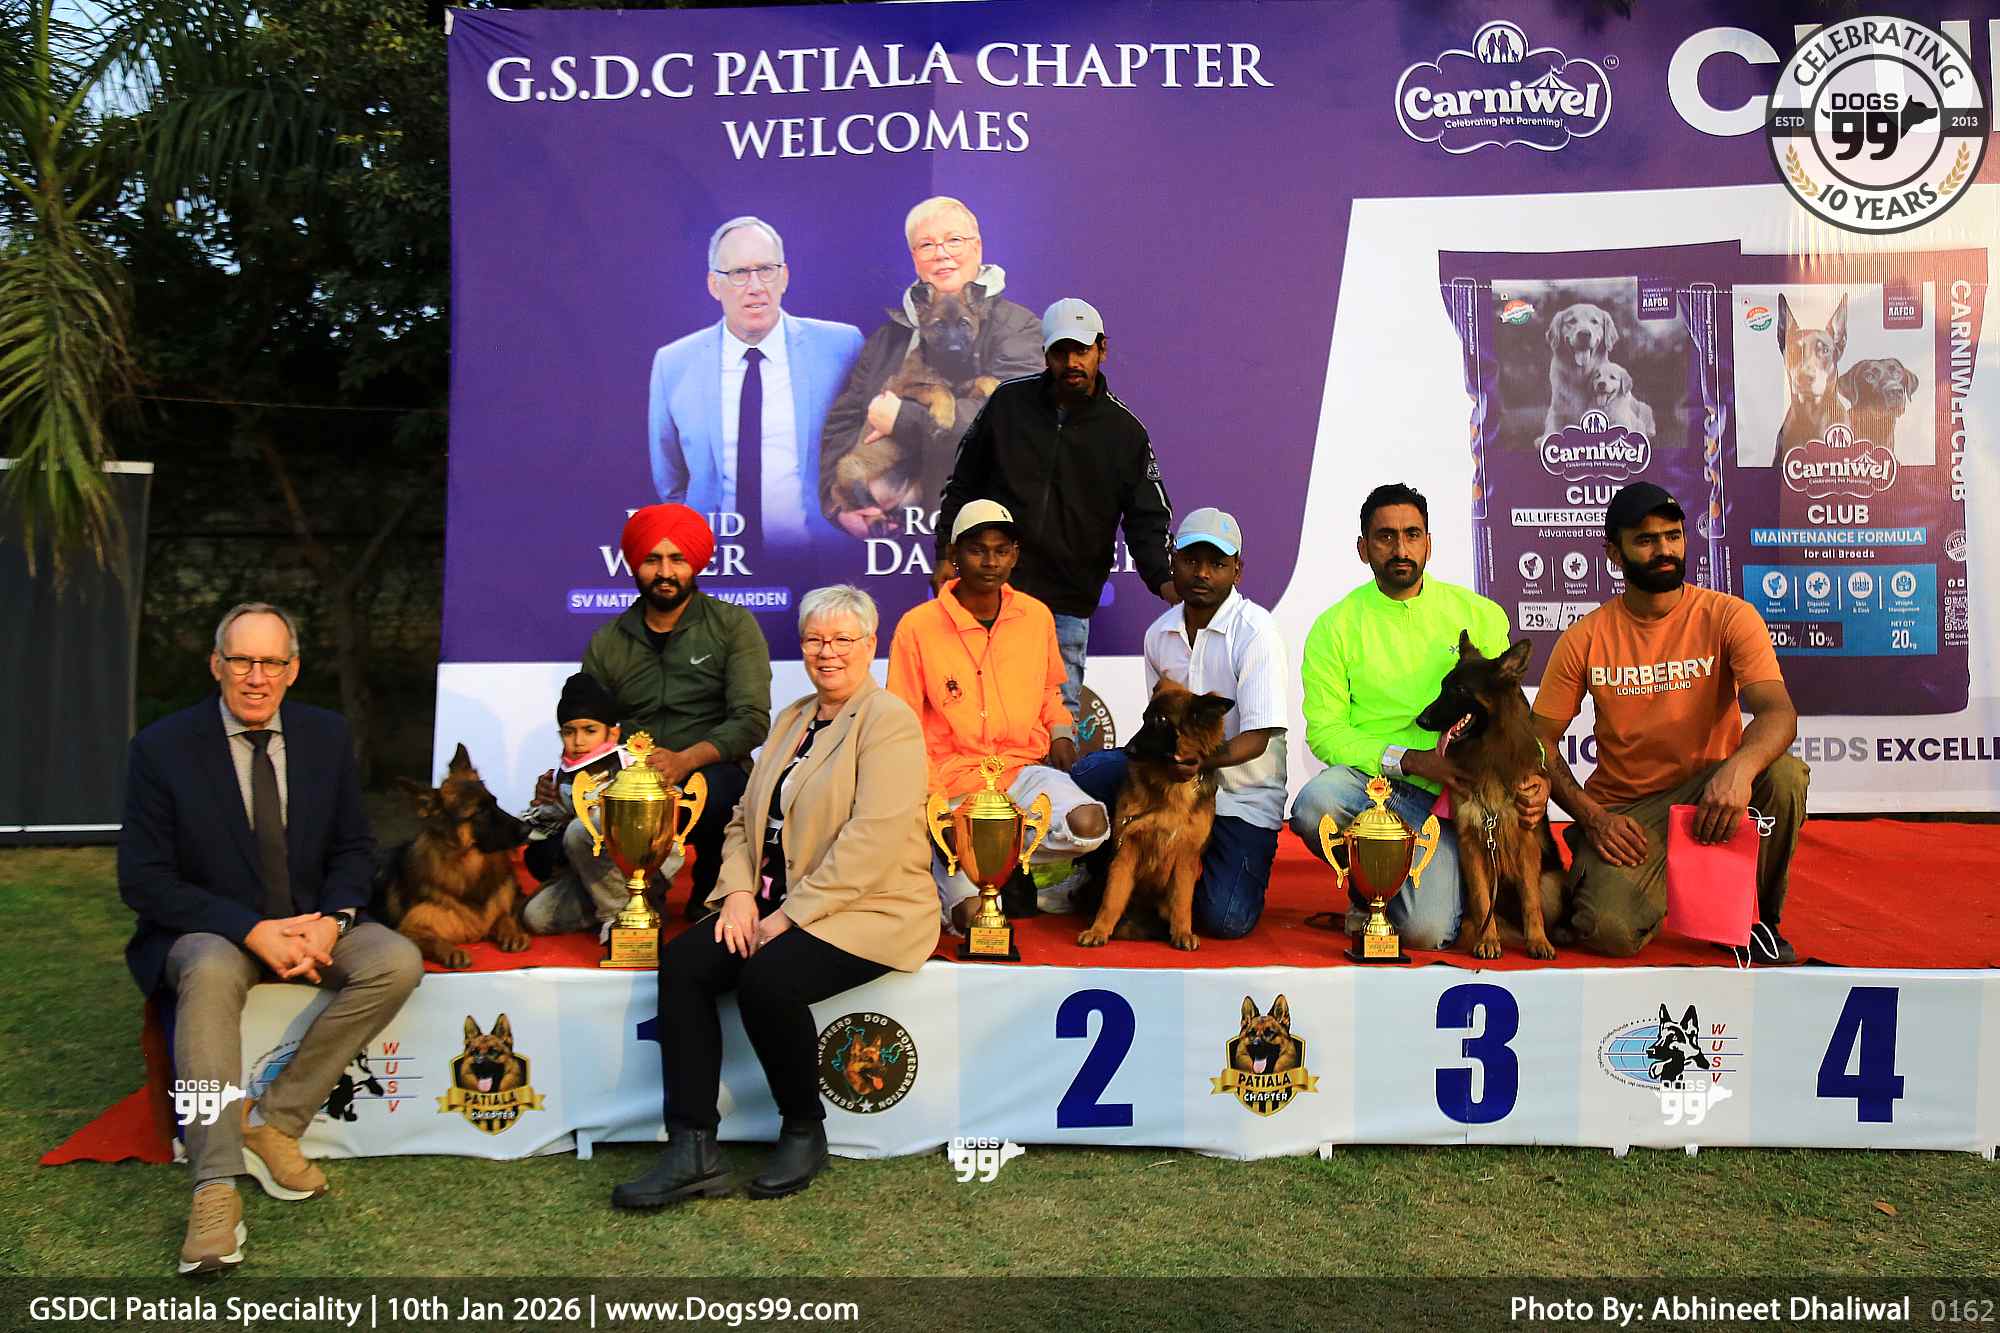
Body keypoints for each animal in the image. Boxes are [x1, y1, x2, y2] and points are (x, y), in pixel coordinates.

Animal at [372, 744, 530, 969]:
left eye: (495, 802)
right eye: (480, 812)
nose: (528, 829)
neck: (466, 867)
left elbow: (504, 916)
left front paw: (513, 933)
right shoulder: (407, 930)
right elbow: (434, 939)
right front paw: (452, 951)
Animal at [1076, 680, 1234, 952]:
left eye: (1161, 720)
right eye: (1144, 718)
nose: (1128, 750)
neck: (1170, 787)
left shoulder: (1186, 857)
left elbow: (1182, 900)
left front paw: (1182, 932)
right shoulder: (1126, 848)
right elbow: (1112, 897)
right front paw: (1099, 930)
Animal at [1414, 632, 1566, 960]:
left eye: (1459, 690)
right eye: (1443, 685)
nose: (1421, 720)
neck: (1486, 752)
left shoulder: (1525, 840)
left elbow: (1530, 900)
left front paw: (1539, 941)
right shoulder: (1471, 842)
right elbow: (1483, 897)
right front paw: (1487, 940)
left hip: (1553, 884)